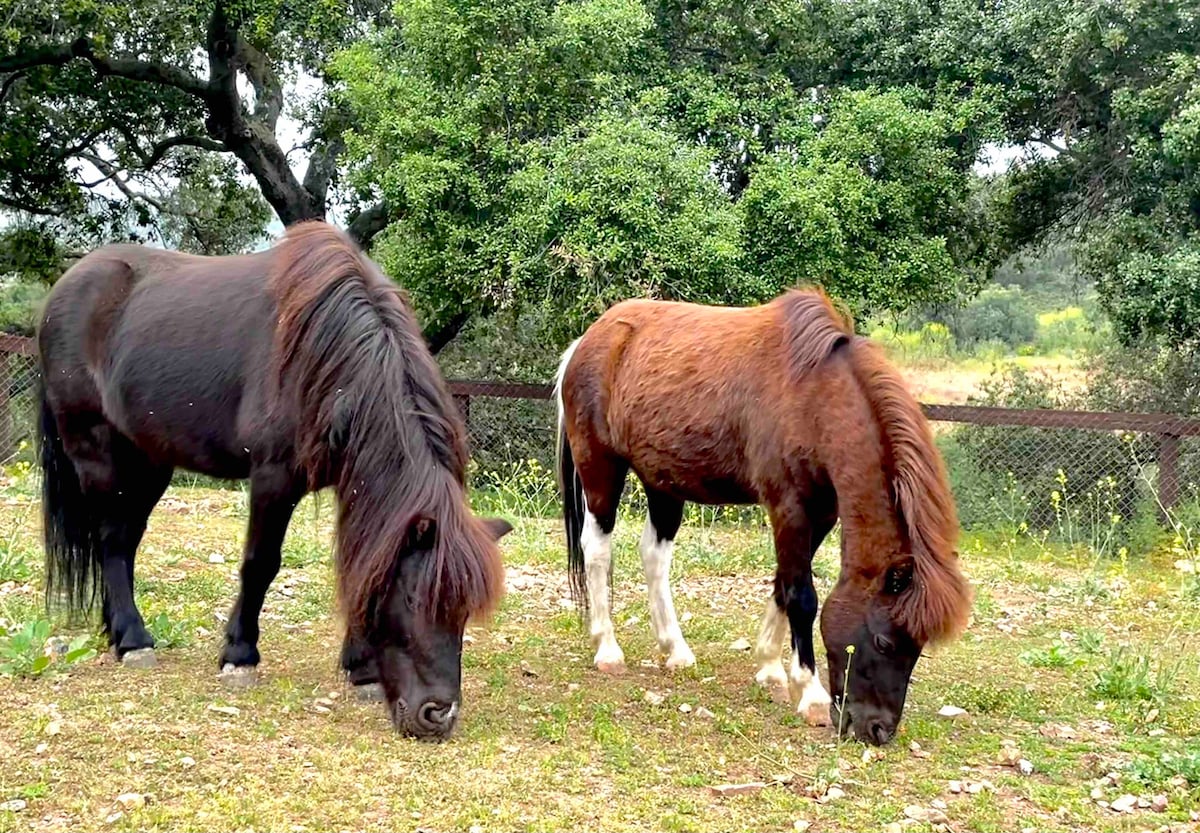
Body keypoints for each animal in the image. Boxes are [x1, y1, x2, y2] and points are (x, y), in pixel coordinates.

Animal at [39, 220, 508, 739]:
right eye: (412, 596)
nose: (437, 715)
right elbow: (260, 563)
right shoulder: (273, 478)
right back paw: (133, 639)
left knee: (124, 538)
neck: (329, 349)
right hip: (94, 448)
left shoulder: (352, 482)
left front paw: (361, 668)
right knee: (112, 540)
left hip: (149, 459)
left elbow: (357, 562)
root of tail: (68, 284)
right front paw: (239, 655)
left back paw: (117, 630)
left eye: (464, 610)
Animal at [556, 290, 969, 748]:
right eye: (884, 640)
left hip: (662, 482)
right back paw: (607, 649)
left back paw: (675, 649)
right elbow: (802, 597)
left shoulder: (821, 512)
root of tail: (587, 341)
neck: (815, 397)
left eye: (918, 648)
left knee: (654, 557)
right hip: (601, 471)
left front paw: (770, 667)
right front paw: (810, 694)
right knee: (596, 551)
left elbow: (782, 585)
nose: (877, 730)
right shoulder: (789, 506)